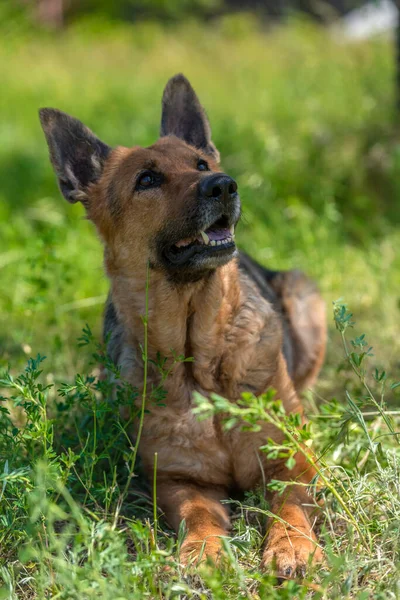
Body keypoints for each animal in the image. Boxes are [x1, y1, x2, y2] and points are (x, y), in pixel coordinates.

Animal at [40, 74, 326, 576]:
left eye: (200, 164)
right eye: (147, 179)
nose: (224, 185)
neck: (200, 361)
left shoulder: (294, 460)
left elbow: (287, 505)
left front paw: (291, 545)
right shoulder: (176, 480)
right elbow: (198, 513)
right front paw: (203, 550)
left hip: (305, 297)